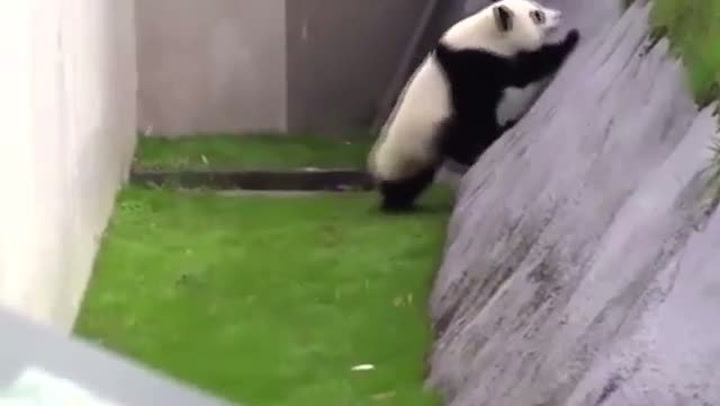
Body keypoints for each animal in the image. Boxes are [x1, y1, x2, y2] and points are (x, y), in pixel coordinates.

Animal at [368, 0, 580, 212]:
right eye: (537, 15)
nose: (559, 15)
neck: (482, 35)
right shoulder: (472, 66)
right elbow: (520, 74)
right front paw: (570, 39)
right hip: (411, 148)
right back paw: (395, 204)